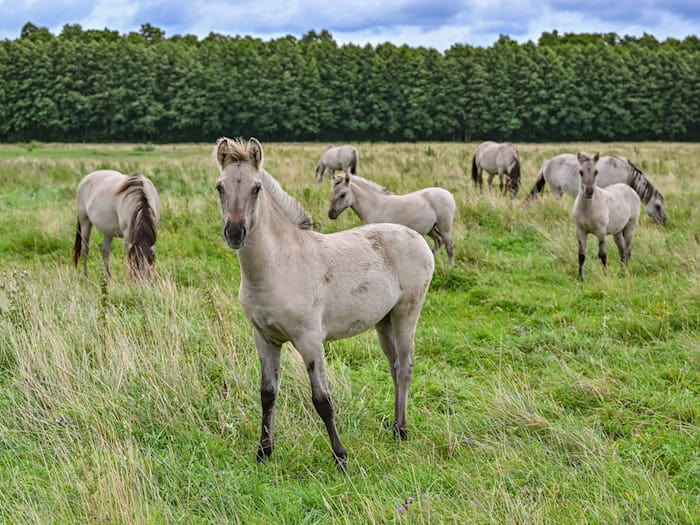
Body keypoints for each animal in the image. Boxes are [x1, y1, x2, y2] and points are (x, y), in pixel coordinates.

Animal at [214, 137, 434, 470]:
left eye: (256, 188)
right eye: (220, 187)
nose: (235, 233)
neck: (279, 266)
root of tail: (417, 238)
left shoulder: (309, 340)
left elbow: (322, 399)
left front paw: (341, 457)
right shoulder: (264, 338)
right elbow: (267, 393)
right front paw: (264, 451)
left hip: (406, 312)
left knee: (406, 367)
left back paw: (402, 431)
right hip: (383, 321)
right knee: (395, 366)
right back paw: (395, 428)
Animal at [328, 174, 456, 265]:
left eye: (343, 194)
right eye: (332, 193)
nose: (331, 214)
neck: (374, 206)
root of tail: (448, 194)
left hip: (444, 227)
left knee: (449, 246)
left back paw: (450, 268)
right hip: (431, 228)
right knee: (438, 240)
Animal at [572, 152, 640, 281]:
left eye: (596, 172)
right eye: (580, 172)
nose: (589, 191)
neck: (588, 208)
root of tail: (630, 189)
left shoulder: (601, 232)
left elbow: (602, 255)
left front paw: (605, 276)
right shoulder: (580, 231)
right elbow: (581, 255)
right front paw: (580, 278)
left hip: (630, 227)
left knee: (627, 251)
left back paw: (626, 272)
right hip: (617, 232)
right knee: (622, 251)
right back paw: (621, 272)